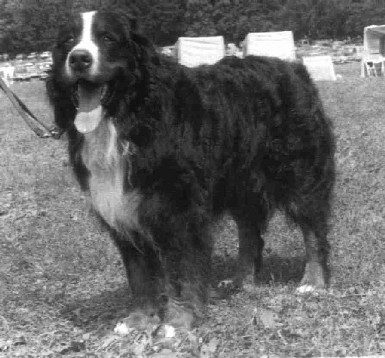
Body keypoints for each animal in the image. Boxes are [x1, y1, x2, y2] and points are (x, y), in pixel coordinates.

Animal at [46, 8, 334, 330]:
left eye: (107, 38)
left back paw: (312, 281)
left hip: (300, 176)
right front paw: (139, 320)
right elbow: (139, 275)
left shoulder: (179, 211)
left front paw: (177, 323)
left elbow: (182, 273)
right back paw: (241, 281)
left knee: (314, 231)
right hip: (242, 187)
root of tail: (293, 68)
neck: (130, 117)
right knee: (250, 235)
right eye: (68, 41)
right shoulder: (122, 209)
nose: (79, 59)